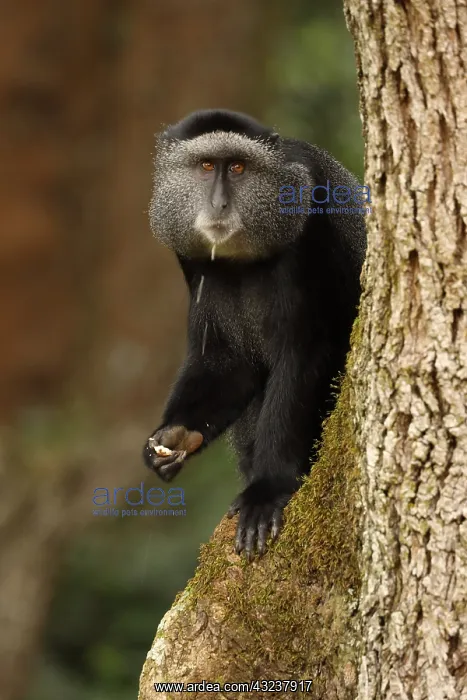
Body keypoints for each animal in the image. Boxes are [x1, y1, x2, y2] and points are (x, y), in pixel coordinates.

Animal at [143, 109, 366, 560]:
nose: (219, 203)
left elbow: (303, 353)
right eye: (206, 165)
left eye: (238, 168)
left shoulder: (309, 216)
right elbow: (225, 361)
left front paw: (268, 490)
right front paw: (176, 436)